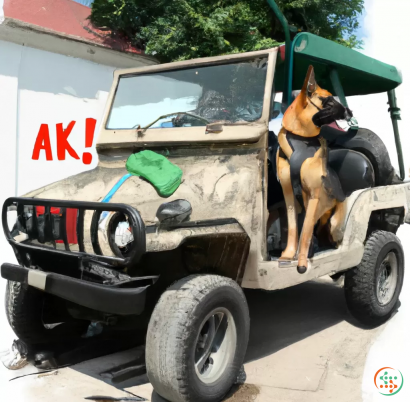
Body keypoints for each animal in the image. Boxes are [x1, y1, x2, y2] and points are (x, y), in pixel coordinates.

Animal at [276, 66, 358, 274]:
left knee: (337, 243)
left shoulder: (314, 194)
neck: (299, 137)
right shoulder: (289, 194)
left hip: (335, 223)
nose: (350, 111)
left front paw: (302, 262)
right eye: (329, 100)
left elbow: (305, 230)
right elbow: (294, 227)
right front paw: (289, 254)